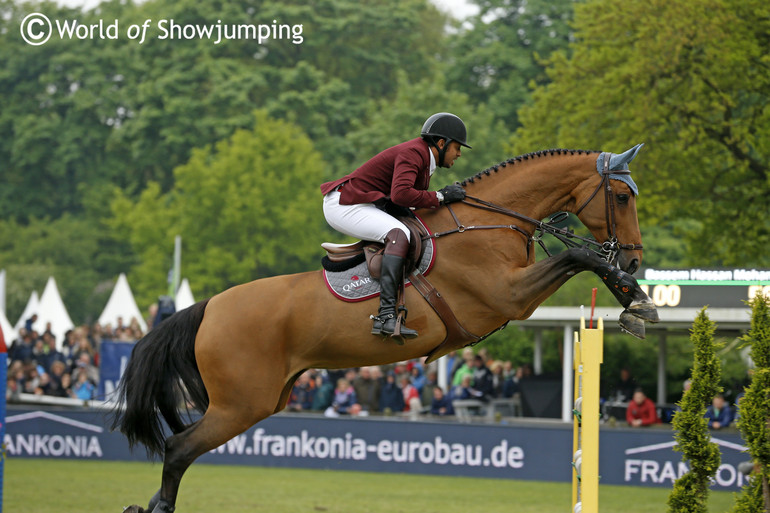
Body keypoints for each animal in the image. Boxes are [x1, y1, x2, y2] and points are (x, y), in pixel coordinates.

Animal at [114, 144, 656, 512]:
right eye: (621, 197)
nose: (633, 257)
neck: (486, 224)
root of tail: (208, 308)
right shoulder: (509, 297)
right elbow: (580, 256)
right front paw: (636, 298)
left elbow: (580, 259)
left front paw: (635, 298)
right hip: (240, 405)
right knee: (178, 449)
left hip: (259, 400)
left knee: (179, 450)